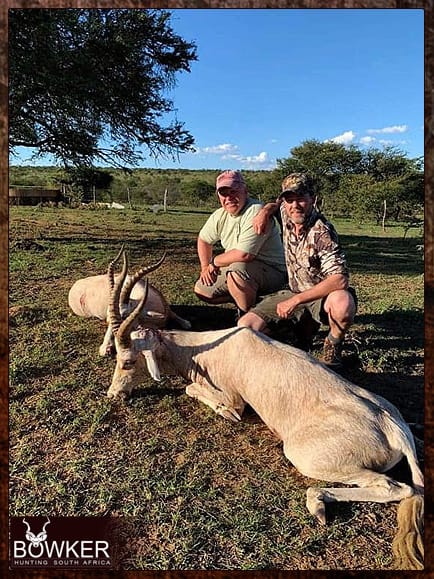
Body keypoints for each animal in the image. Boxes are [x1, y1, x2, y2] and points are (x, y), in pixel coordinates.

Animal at [107, 262, 426, 572]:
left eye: (128, 361)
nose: (113, 394)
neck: (208, 347)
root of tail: (394, 430)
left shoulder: (233, 398)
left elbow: (196, 392)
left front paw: (224, 413)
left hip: (305, 456)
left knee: (396, 487)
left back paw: (317, 503)